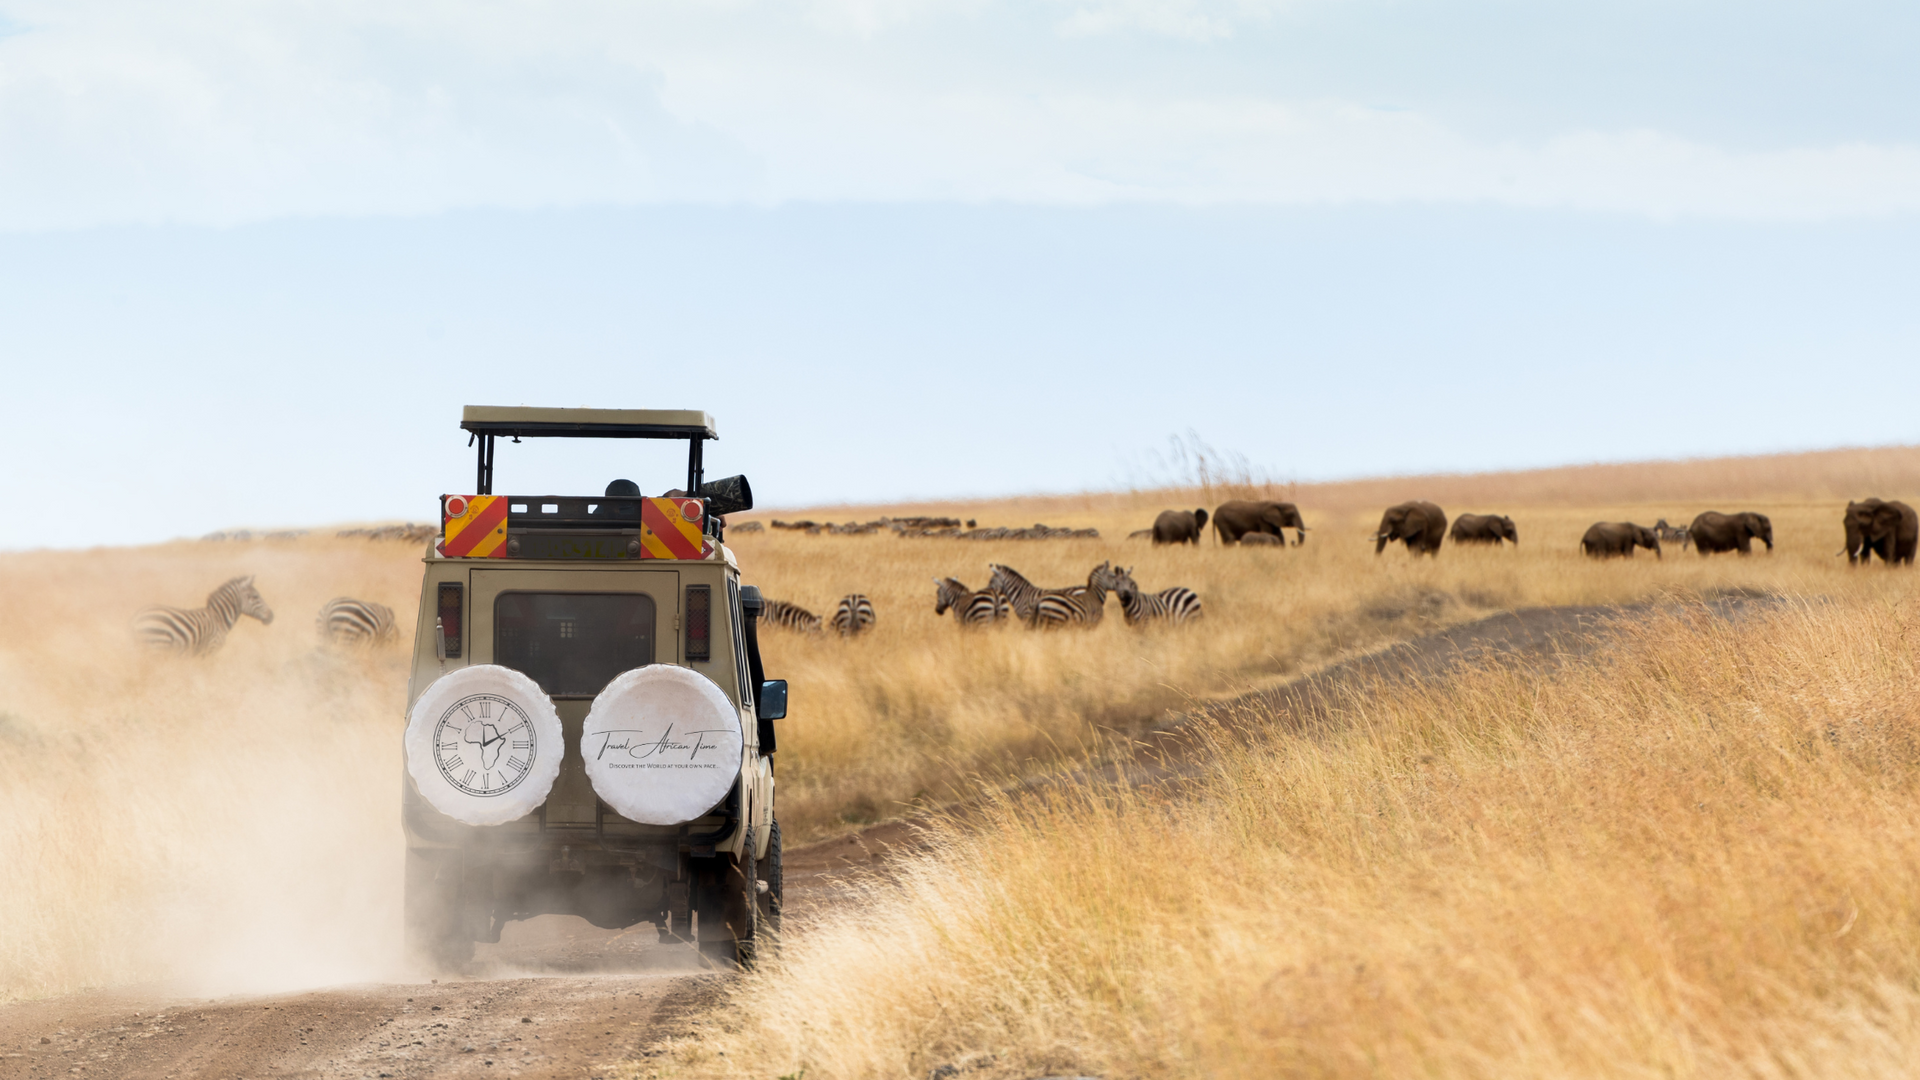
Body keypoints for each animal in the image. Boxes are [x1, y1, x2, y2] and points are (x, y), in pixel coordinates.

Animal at [133, 576, 275, 655]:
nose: (272, 616)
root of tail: (136, 617)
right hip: (157, 645)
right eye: (255, 597)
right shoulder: (211, 649)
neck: (219, 618)